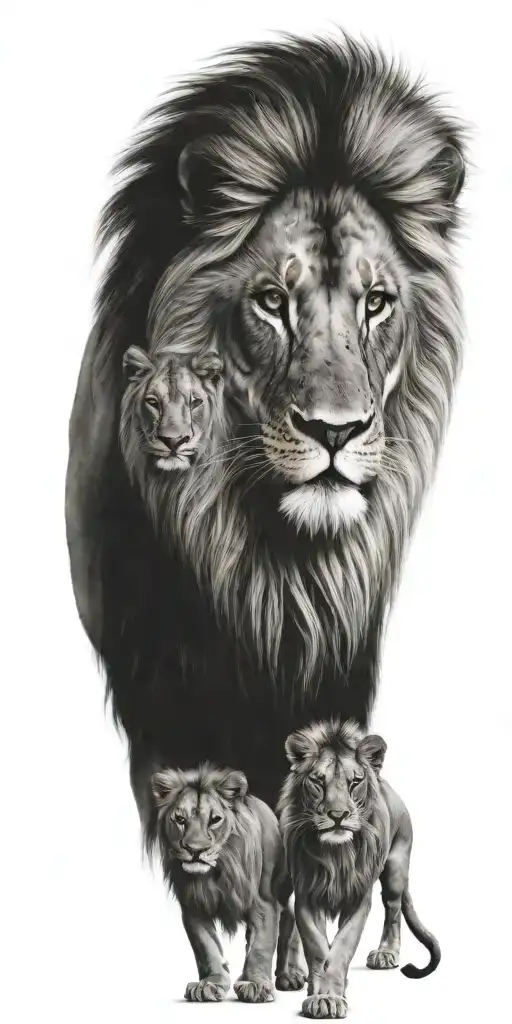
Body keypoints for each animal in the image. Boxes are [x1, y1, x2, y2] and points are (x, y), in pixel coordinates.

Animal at [148, 762, 306, 1002]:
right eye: (180, 819)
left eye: (214, 819)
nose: (195, 851)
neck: (217, 871)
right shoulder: (193, 907)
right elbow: (206, 948)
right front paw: (210, 984)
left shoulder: (264, 903)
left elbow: (261, 946)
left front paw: (255, 984)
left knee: (290, 924)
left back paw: (290, 975)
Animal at [277, 719, 441, 1019]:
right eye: (318, 781)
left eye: (354, 781)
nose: (338, 816)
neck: (336, 854)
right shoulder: (306, 894)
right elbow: (318, 948)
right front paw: (320, 995)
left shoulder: (358, 897)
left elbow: (342, 947)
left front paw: (330, 998)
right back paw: (294, 974)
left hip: (396, 869)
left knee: (393, 909)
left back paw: (386, 953)